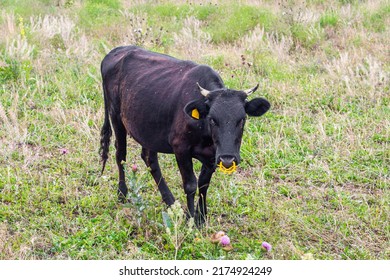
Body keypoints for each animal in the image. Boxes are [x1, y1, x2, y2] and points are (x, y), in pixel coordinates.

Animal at [100, 46, 272, 225]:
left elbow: (204, 183)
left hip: (148, 128)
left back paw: (170, 201)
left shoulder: (212, 155)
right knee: (121, 155)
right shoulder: (180, 148)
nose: (227, 159)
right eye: (212, 119)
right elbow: (190, 184)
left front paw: (201, 218)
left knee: (149, 158)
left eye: (242, 119)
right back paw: (122, 193)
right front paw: (190, 218)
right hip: (115, 115)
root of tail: (117, 50)